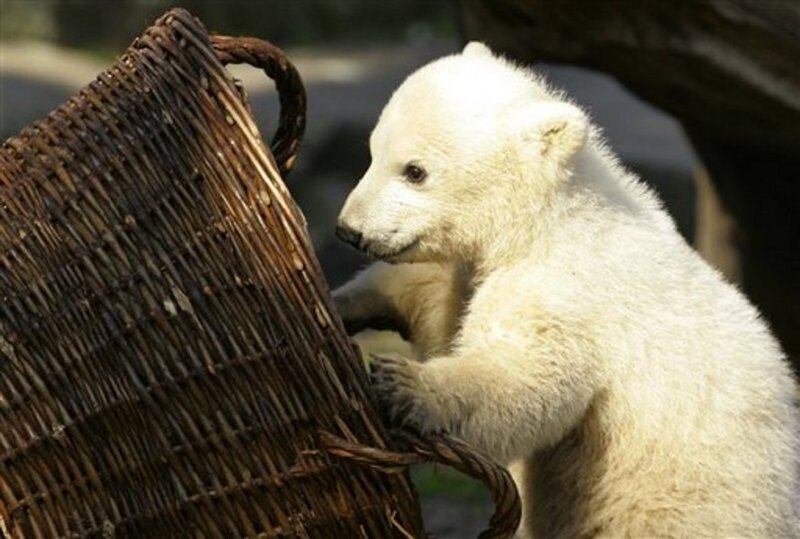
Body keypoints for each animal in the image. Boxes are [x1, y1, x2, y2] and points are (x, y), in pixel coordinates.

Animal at [332, 42, 800, 537]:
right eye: (372, 151)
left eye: (415, 171)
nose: (349, 230)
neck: (553, 214)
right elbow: (437, 299)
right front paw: (346, 303)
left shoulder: (568, 290)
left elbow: (527, 375)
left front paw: (401, 383)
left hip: (679, 508)